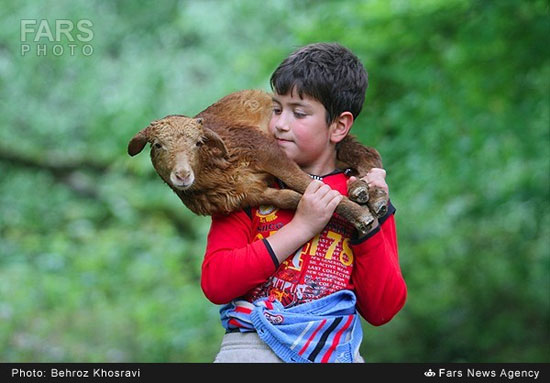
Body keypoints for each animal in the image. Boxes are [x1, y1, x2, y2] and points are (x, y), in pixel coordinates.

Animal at [128, 89, 388, 237]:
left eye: (198, 143)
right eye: (158, 145)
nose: (182, 175)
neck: (215, 172)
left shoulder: (264, 149)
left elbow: (302, 181)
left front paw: (361, 217)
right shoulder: (251, 194)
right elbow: (294, 197)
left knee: (367, 152)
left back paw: (374, 197)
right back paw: (362, 190)